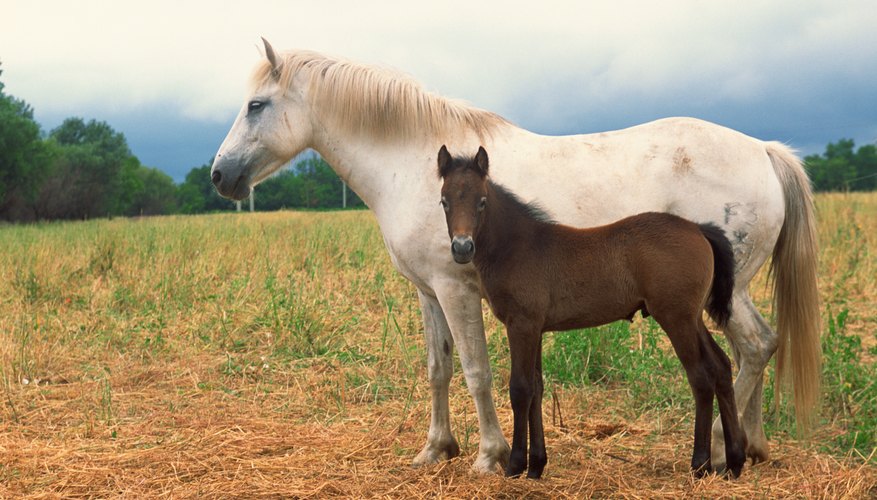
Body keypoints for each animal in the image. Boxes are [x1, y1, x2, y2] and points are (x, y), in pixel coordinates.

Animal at [212, 40, 820, 472]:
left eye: (256, 105)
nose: (220, 176)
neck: (415, 164)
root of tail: (764, 151)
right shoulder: (428, 291)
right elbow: (437, 368)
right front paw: (436, 449)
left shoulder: (457, 290)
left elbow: (477, 372)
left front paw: (491, 456)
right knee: (752, 350)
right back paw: (752, 446)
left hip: (718, 297)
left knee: (752, 348)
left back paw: (720, 450)